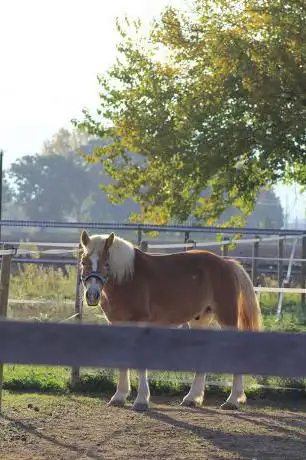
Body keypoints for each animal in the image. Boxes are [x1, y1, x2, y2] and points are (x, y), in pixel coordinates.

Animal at [79, 230, 260, 414]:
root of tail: (227, 263)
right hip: (199, 320)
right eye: (83, 261)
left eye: (106, 263)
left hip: (227, 317)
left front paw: (141, 400)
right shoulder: (117, 324)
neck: (128, 278)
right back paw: (192, 398)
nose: (92, 295)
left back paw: (232, 400)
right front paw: (119, 397)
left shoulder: (139, 323)